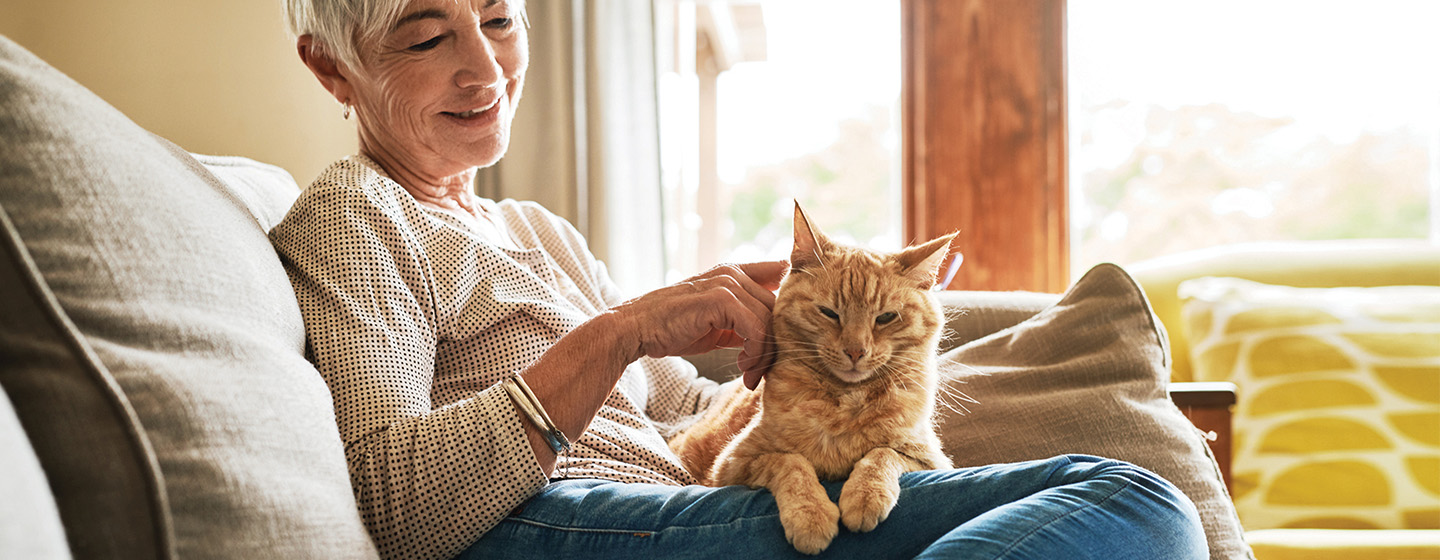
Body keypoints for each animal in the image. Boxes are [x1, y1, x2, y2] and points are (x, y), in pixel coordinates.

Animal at [671, 202, 956, 552]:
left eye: (886, 317)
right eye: (829, 313)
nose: (855, 351)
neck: (844, 403)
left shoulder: (930, 458)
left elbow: (882, 453)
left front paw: (865, 495)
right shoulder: (732, 466)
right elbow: (791, 462)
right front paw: (811, 515)